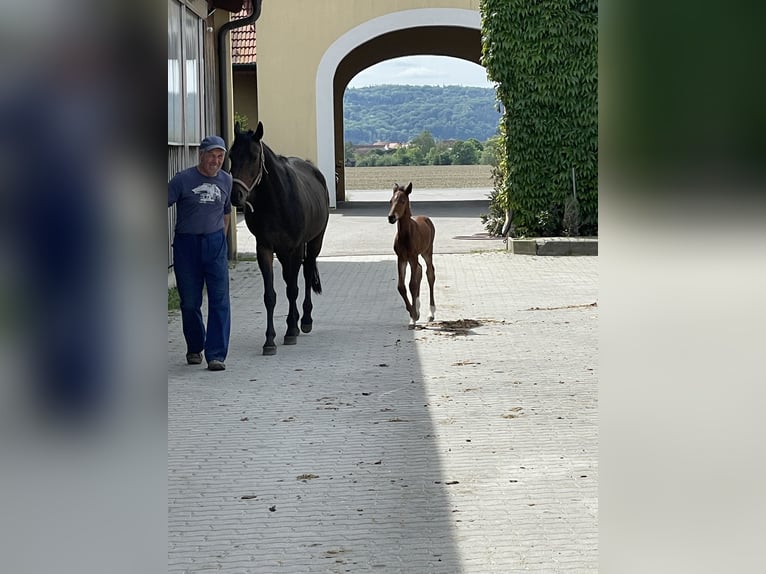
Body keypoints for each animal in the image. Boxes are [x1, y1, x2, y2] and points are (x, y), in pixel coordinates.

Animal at [231, 121, 332, 356]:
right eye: (231, 155)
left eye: (254, 156)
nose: (236, 196)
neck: (277, 200)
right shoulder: (265, 249)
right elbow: (271, 295)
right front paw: (269, 340)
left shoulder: (294, 248)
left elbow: (293, 289)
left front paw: (291, 331)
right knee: (291, 278)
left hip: (314, 243)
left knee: (305, 274)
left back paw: (304, 320)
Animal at [388, 184, 436, 328]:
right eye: (390, 201)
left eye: (403, 201)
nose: (391, 217)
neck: (405, 236)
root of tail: (426, 218)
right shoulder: (401, 258)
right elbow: (401, 286)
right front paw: (413, 315)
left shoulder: (413, 257)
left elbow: (412, 285)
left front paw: (414, 316)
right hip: (413, 258)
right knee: (420, 270)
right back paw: (419, 308)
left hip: (427, 252)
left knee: (430, 273)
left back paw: (431, 313)